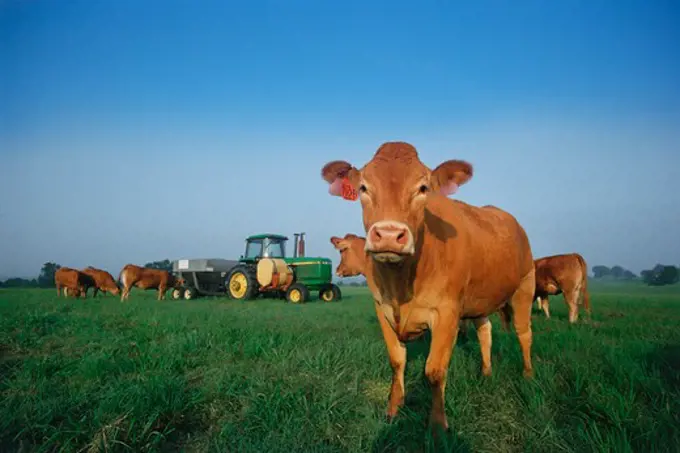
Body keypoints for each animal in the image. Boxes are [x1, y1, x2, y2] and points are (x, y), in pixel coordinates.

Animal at [320, 140, 536, 430]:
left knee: (524, 333)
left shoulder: (447, 313)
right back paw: (486, 372)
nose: (389, 235)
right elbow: (397, 362)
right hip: (480, 298)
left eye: (423, 188)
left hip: (525, 285)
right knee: (485, 332)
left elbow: (434, 371)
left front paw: (437, 426)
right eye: (363, 187)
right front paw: (393, 410)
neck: (400, 284)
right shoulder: (381, 309)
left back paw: (527, 374)